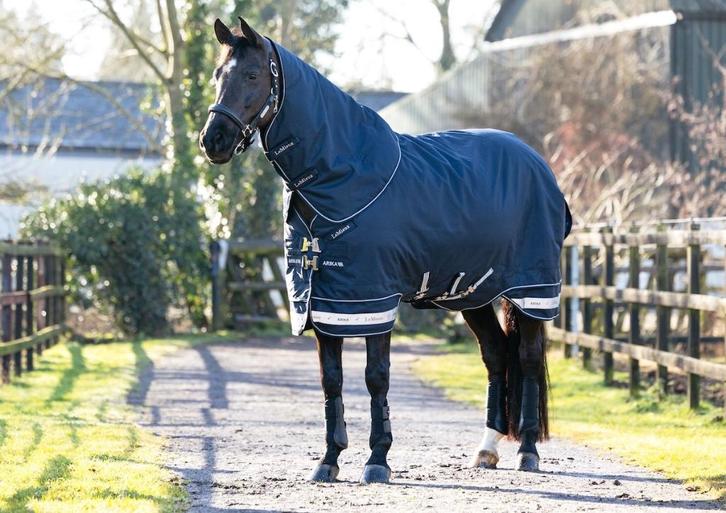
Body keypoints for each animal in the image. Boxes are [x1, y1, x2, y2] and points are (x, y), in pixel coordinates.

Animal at [200, 17, 572, 484]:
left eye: (252, 75)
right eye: (217, 75)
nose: (213, 140)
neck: (344, 177)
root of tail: (538, 164)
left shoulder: (373, 299)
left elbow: (376, 378)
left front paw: (377, 460)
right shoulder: (326, 302)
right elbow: (332, 380)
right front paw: (329, 460)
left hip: (531, 292)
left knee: (526, 358)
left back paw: (526, 451)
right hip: (473, 295)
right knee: (496, 355)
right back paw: (486, 449)